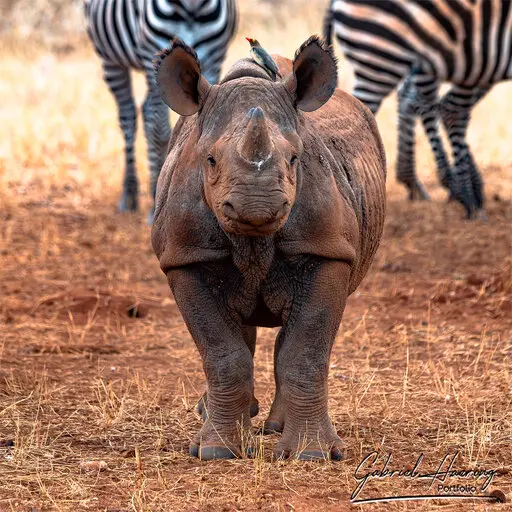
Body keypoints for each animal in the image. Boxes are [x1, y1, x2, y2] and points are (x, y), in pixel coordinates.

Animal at [85, 1, 237, 222]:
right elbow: (160, 132)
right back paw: (131, 194)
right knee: (128, 117)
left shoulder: (214, 57)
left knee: (146, 112)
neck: (193, 6)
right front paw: (160, 200)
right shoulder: (155, 53)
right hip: (110, 58)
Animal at [154, 36, 386, 460]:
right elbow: (221, 353)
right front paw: (217, 452)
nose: (257, 207)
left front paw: (313, 454)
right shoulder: (185, 257)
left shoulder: (326, 250)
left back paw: (274, 427)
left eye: (295, 158)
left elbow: (306, 351)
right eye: (209, 159)